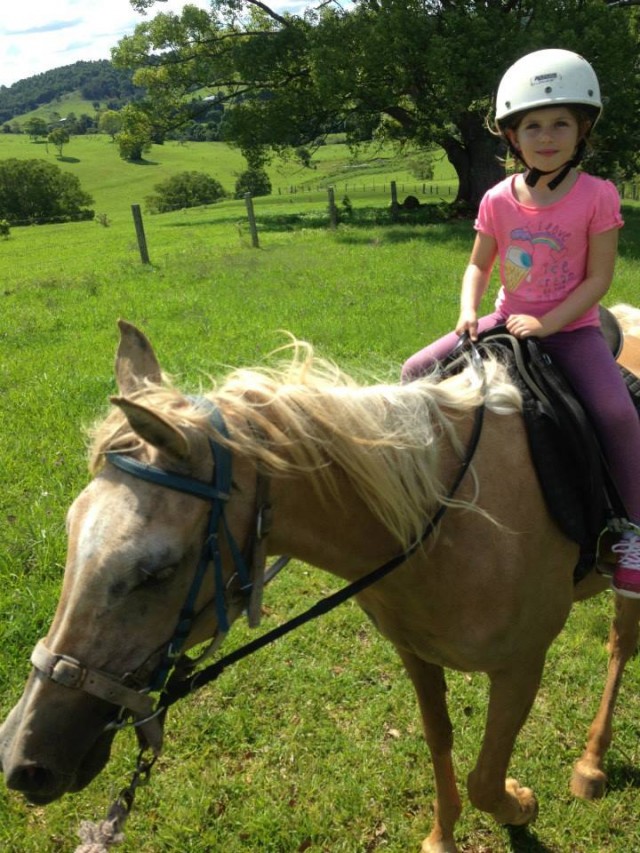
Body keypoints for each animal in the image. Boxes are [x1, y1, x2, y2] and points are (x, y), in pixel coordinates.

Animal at [0, 308, 636, 852]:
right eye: (70, 528)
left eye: (157, 570)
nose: (21, 759)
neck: (454, 519)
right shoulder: (415, 652)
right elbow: (440, 740)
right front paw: (442, 834)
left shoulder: (522, 664)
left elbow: (485, 778)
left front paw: (520, 805)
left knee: (620, 646)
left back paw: (590, 765)